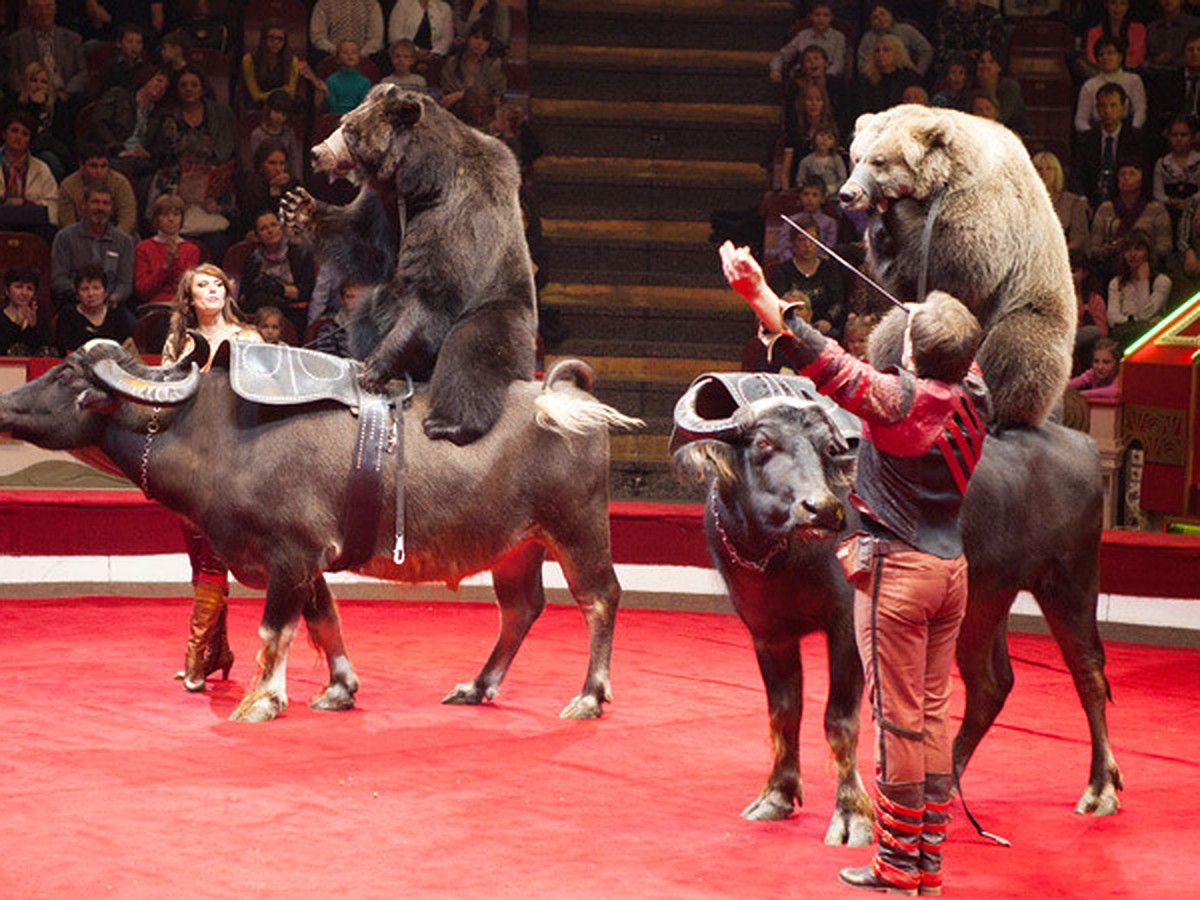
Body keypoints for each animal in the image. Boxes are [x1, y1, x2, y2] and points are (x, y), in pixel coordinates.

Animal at [0, 340, 643, 724]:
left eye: (63, 375)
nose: (4, 403)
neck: (209, 432)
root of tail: (564, 397)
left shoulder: (290, 554)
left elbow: (275, 629)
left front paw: (263, 699)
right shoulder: (306, 562)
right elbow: (322, 619)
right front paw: (339, 687)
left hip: (577, 528)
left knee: (599, 599)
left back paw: (590, 695)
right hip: (517, 546)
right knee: (521, 608)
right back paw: (478, 686)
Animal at [282, 86, 535, 446]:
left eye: (350, 131)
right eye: (344, 121)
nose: (317, 152)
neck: (421, 182)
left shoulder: (454, 215)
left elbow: (434, 295)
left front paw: (373, 369)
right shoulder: (386, 205)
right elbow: (367, 244)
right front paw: (298, 207)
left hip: (500, 307)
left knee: (472, 352)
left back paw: (448, 423)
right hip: (379, 306)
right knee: (364, 317)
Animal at [676, 369, 1123, 844]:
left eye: (826, 448)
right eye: (763, 443)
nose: (821, 509)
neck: (783, 556)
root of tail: (1083, 444)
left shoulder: (847, 627)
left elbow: (839, 721)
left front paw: (851, 815)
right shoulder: (767, 633)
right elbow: (782, 713)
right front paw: (776, 796)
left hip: (1071, 579)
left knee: (1089, 673)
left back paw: (1100, 789)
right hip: (983, 603)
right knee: (991, 683)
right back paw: (944, 784)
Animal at [840, 105, 1075, 429]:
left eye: (879, 160)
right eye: (856, 156)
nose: (848, 193)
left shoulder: (984, 205)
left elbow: (967, 264)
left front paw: (900, 213)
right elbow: (904, 279)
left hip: (1032, 305)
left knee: (1019, 349)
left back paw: (997, 411)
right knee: (891, 332)